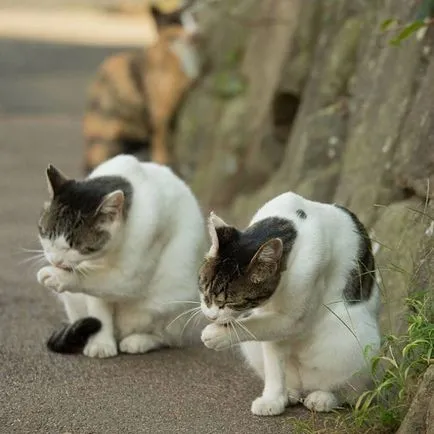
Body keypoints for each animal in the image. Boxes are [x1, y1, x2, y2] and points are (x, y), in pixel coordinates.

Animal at [36, 154, 206, 358]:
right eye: (47, 235)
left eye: (75, 246)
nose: (55, 260)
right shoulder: (92, 272)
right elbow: (98, 309)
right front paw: (101, 344)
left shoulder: (134, 270)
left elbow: (95, 281)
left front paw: (57, 276)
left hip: (170, 302)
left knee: (167, 338)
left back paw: (140, 341)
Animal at [82, 3, 201, 173]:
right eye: (176, 21)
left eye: (192, 19)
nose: (195, 34)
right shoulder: (159, 114)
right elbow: (162, 144)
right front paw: (164, 164)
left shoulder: (175, 111)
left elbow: (172, 143)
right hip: (114, 132)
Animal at [197, 194, 380, 418]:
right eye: (204, 290)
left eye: (231, 302)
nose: (211, 316)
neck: (290, 222)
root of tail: (306, 385)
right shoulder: (269, 315)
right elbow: (273, 354)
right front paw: (273, 399)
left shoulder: (296, 315)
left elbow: (258, 325)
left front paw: (217, 335)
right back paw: (290, 393)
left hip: (355, 340)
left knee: (351, 392)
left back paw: (325, 397)